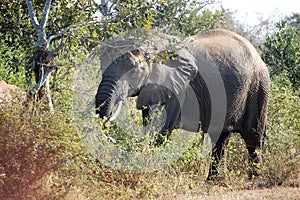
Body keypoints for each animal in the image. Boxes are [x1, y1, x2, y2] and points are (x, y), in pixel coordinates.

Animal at [95, 29, 270, 180]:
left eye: (134, 69)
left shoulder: (178, 88)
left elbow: (162, 127)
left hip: (257, 87)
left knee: (252, 137)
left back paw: (254, 179)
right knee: (220, 137)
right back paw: (213, 181)